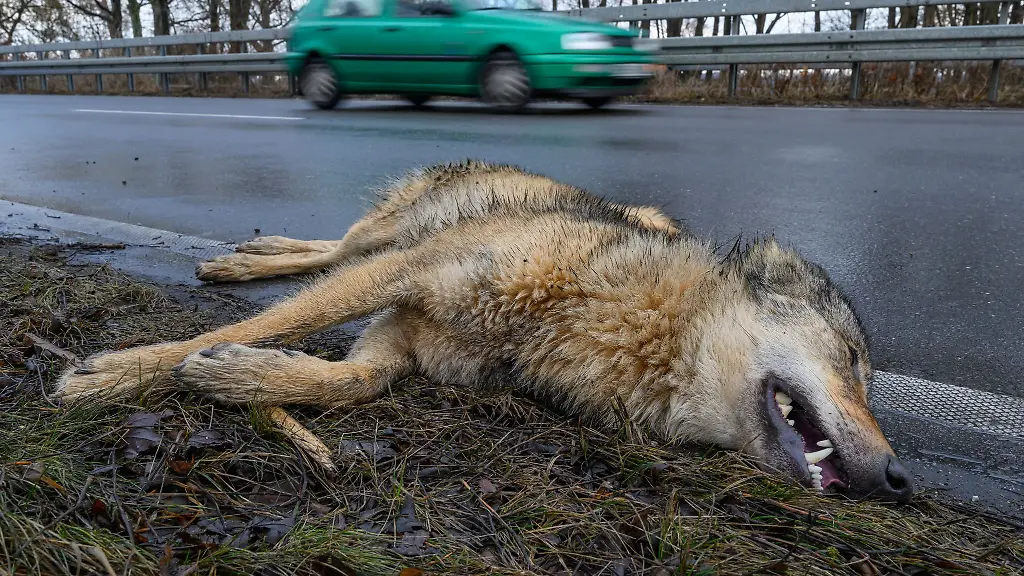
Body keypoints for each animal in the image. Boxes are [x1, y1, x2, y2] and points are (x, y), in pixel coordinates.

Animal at [55, 160, 913, 503]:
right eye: (851, 360)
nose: (902, 480)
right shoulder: (413, 275)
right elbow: (285, 320)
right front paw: (122, 372)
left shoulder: (402, 336)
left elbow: (349, 380)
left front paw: (238, 375)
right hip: (396, 231)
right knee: (338, 249)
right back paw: (245, 261)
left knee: (331, 253)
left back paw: (252, 257)